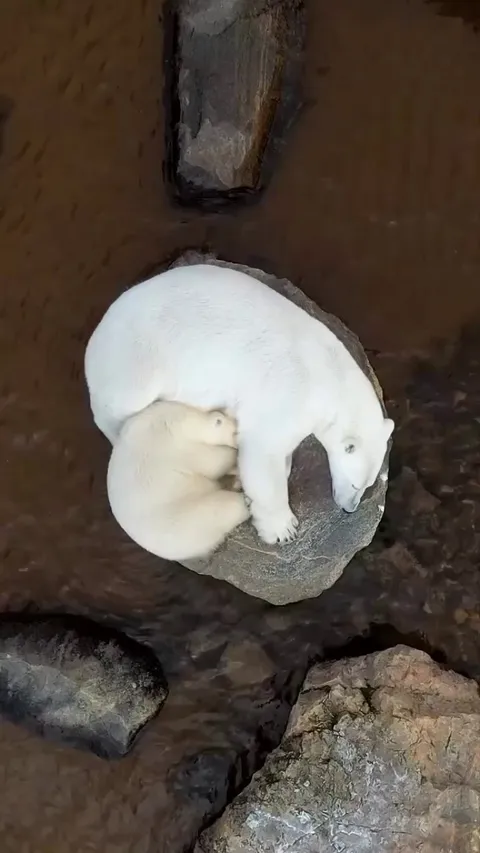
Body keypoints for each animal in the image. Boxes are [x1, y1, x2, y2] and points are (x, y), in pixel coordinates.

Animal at [85, 263, 394, 546]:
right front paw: (282, 528)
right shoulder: (290, 391)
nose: (349, 508)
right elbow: (263, 451)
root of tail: (96, 336)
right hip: (137, 356)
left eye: (368, 485)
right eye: (356, 483)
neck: (329, 373)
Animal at [106, 400, 251, 562]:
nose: (239, 445)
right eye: (235, 434)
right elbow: (212, 462)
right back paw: (243, 498)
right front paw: (233, 460)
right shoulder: (175, 444)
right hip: (189, 513)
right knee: (223, 506)